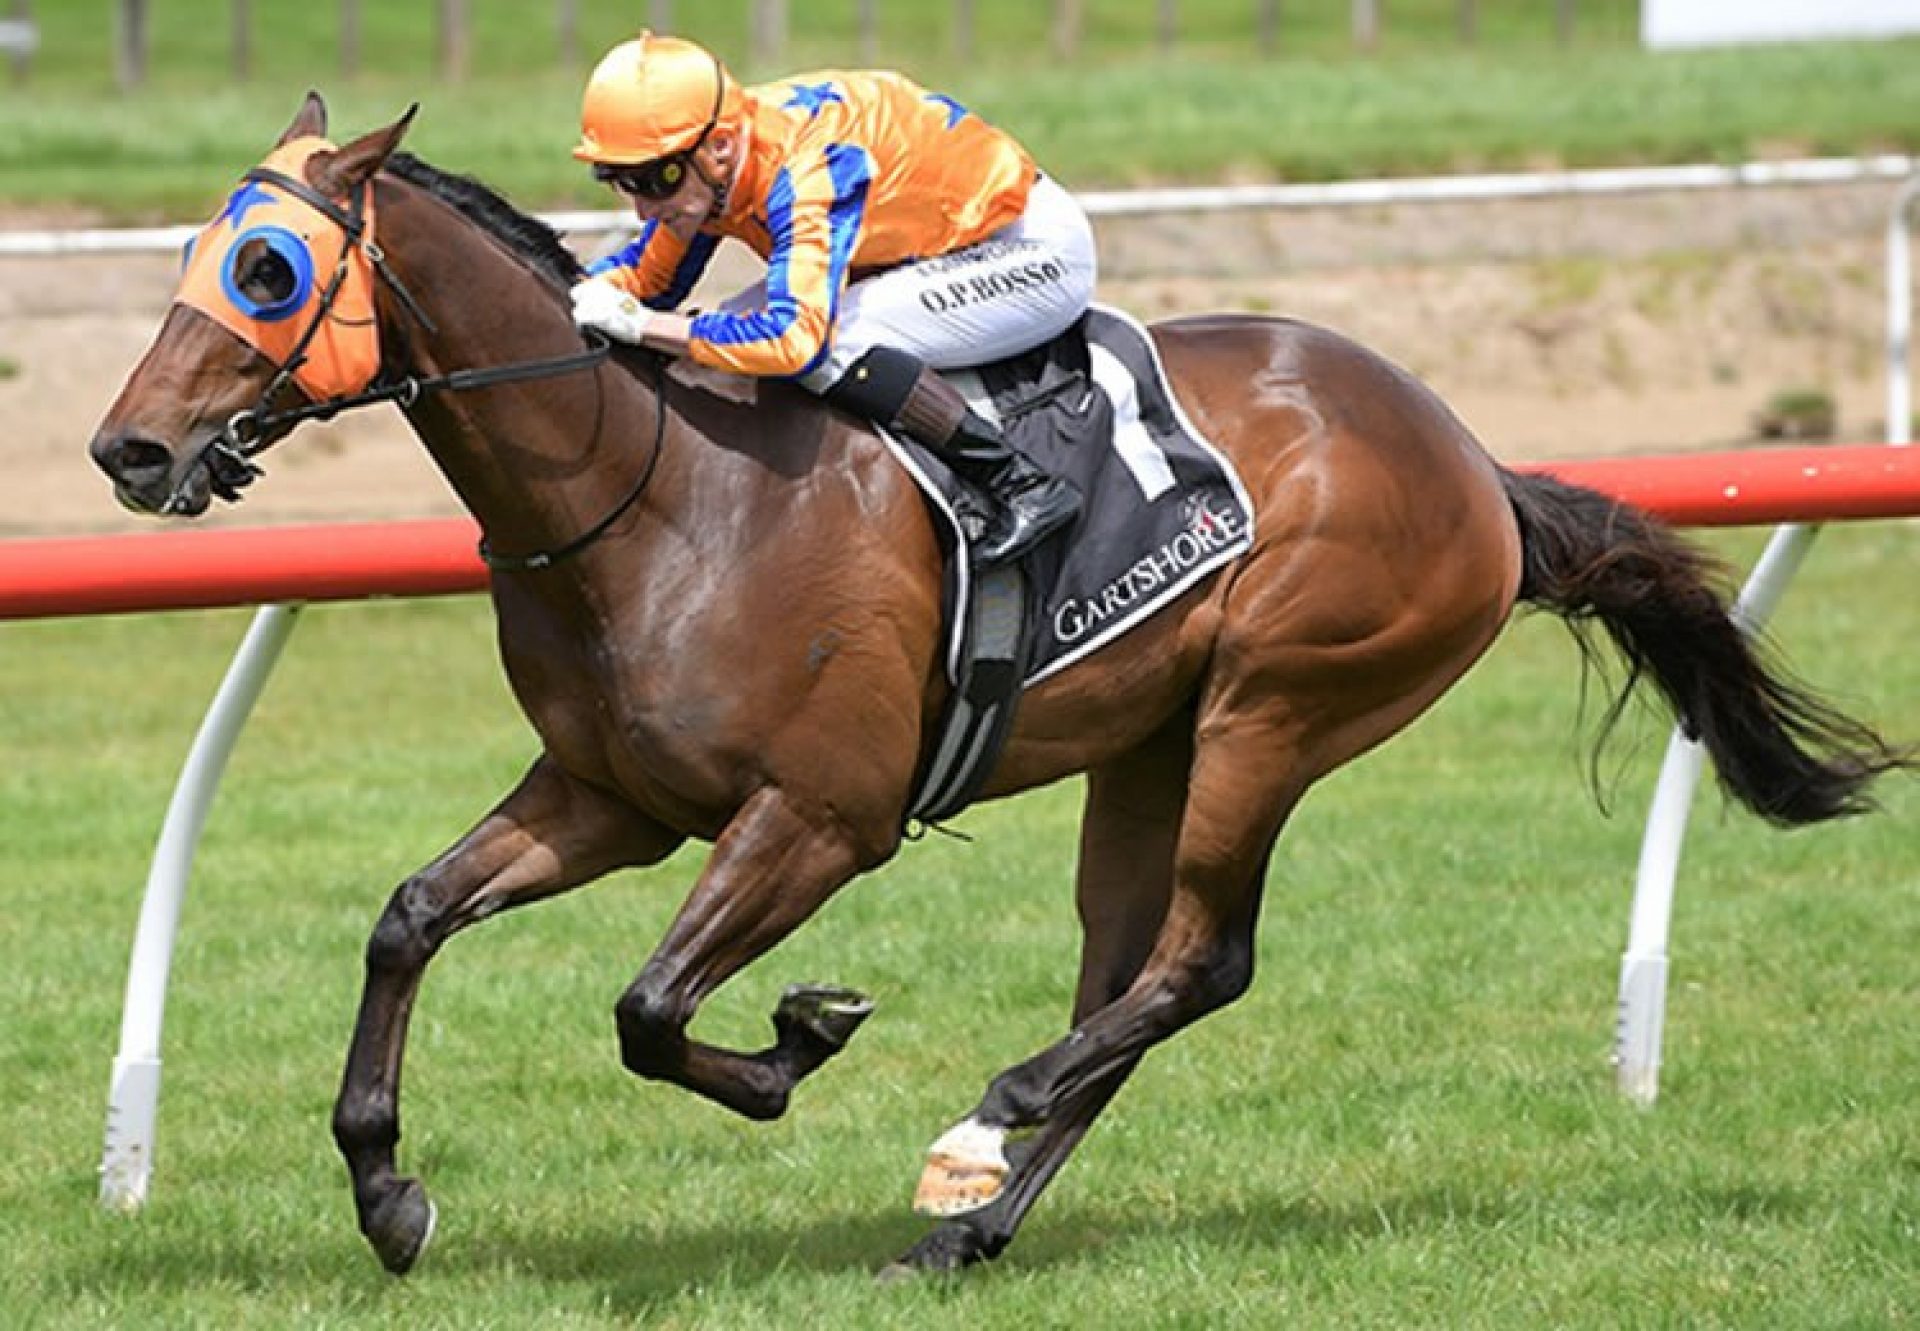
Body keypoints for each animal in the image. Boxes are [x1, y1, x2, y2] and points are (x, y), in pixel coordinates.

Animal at [86, 98, 1889, 1275]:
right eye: (192, 250)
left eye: (263, 269)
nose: (130, 450)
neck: (662, 490)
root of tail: (1475, 461)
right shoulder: (609, 796)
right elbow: (408, 917)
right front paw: (388, 1193)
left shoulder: (821, 815)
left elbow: (651, 1010)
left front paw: (798, 1036)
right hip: (1150, 748)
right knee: (1131, 972)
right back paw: (982, 1211)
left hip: (1274, 710)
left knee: (1198, 962)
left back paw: (989, 1119)